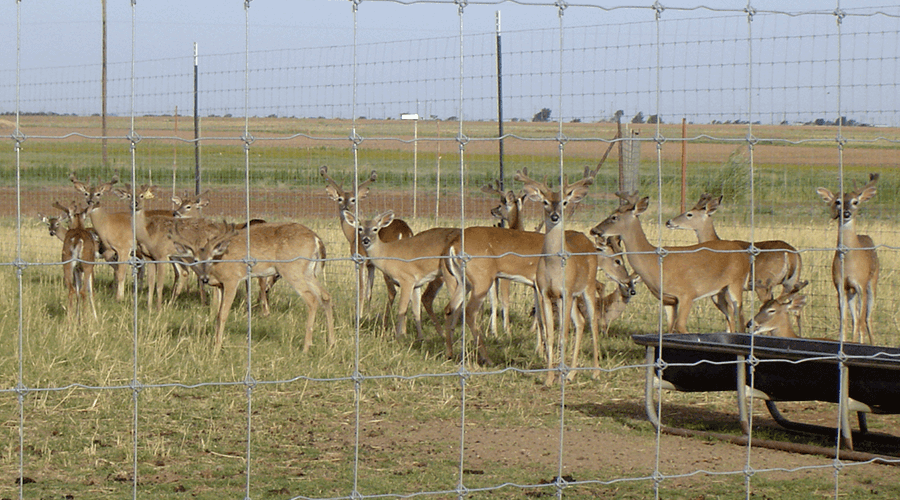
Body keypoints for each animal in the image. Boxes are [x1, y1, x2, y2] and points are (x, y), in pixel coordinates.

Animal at [169, 220, 334, 356]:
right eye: (195, 260)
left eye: (210, 258)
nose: (204, 279)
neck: (219, 263)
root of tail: (316, 239)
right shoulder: (221, 285)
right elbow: (216, 315)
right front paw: (215, 344)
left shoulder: (232, 280)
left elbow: (222, 315)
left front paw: (216, 350)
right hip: (308, 272)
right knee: (325, 296)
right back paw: (331, 344)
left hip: (292, 269)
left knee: (312, 299)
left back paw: (306, 347)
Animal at [318, 165, 414, 320]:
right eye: (340, 199)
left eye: (353, 199)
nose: (345, 208)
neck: (352, 235)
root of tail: (404, 232)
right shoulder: (371, 265)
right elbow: (369, 292)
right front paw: (367, 315)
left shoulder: (360, 260)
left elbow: (361, 290)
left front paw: (360, 315)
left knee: (392, 291)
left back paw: (386, 319)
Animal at [516, 166, 600, 384]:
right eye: (545, 202)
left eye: (564, 202)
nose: (555, 217)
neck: (554, 267)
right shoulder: (546, 292)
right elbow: (550, 334)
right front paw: (548, 378)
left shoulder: (567, 290)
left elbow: (564, 334)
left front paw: (556, 376)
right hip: (570, 297)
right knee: (580, 322)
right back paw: (570, 374)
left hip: (587, 286)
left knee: (592, 322)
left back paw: (595, 371)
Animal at [592, 191, 752, 336]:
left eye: (614, 217)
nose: (594, 230)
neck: (654, 262)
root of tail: (742, 251)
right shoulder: (668, 300)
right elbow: (669, 329)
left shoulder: (687, 293)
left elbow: (680, 326)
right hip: (718, 291)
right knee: (731, 315)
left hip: (736, 282)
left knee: (740, 316)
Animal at [816, 173, 880, 344]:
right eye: (838, 201)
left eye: (855, 202)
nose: (846, 213)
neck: (850, 263)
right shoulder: (840, 285)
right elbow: (844, 320)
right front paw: (843, 342)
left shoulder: (861, 284)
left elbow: (862, 321)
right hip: (851, 292)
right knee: (855, 319)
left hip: (872, 281)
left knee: (868, 318)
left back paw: (872, 343)